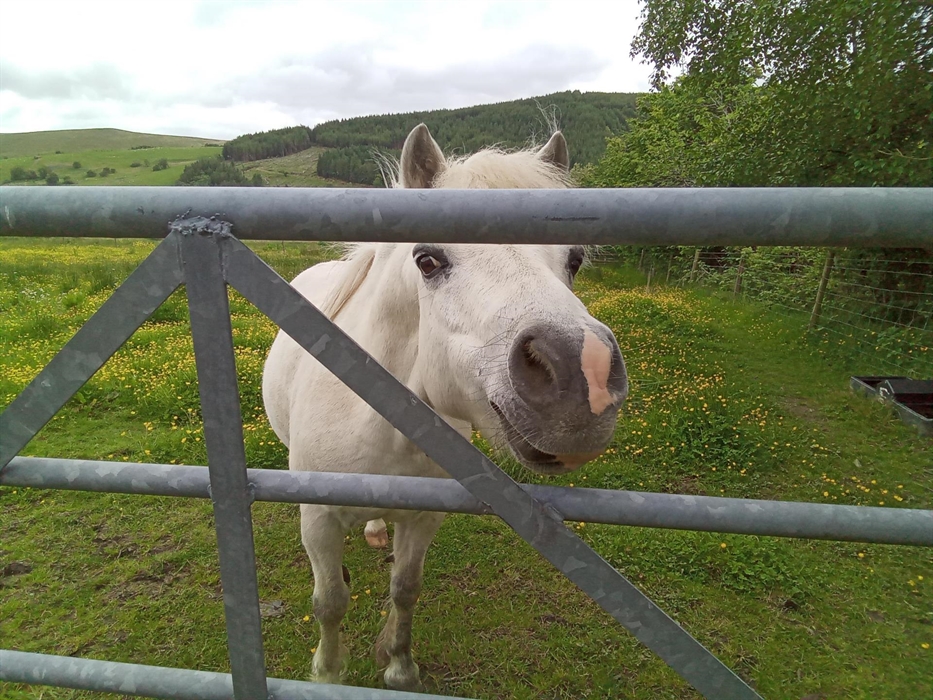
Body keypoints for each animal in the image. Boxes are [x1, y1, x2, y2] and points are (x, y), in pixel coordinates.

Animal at [262, 123, 628, 691]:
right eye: (428, 260)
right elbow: (330, 602)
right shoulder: (317, 520)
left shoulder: (424, 517)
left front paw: (398, 665)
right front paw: (327, 672)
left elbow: (405, 589)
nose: (582, 373)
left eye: (574, 261)